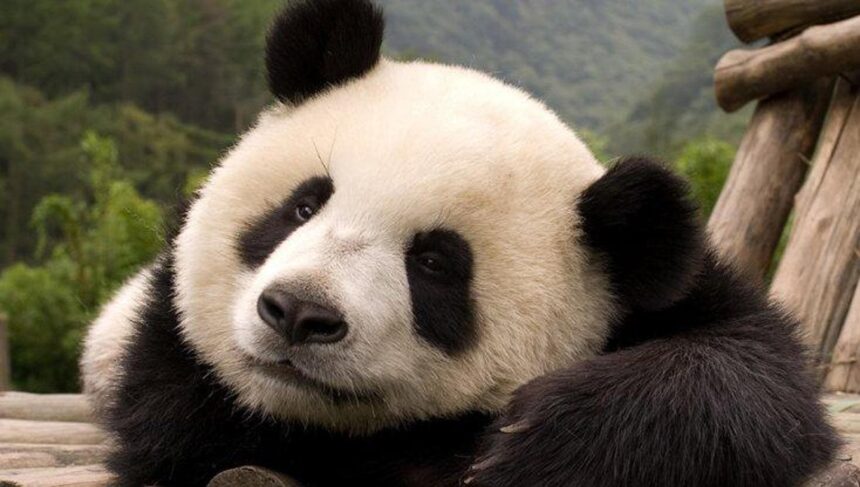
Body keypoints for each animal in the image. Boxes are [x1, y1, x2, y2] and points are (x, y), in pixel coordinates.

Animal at [79, 0, 838, 486]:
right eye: (303, 204)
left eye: (435, 263)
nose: (298, 312)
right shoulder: (163, 351)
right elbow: (185, 423)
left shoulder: (670, 293)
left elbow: (754, 373)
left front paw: (531, 437)